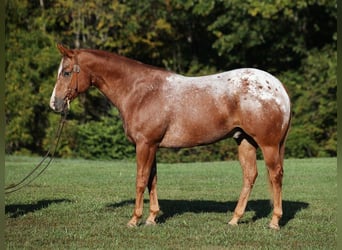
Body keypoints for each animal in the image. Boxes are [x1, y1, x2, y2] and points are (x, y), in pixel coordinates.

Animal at [50, 44, 292, 229]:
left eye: (66, 72)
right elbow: (152, 180)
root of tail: (278, 88)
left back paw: (274, 221)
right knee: (250, 176)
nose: (55, 104)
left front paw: (134, 220)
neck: (139, 92)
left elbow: (141, 180)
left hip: (268, 145)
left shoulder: (145, 145)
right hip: (245, 141)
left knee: (276, 175)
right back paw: (235, 219)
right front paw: (151, 218)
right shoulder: (152, 145)